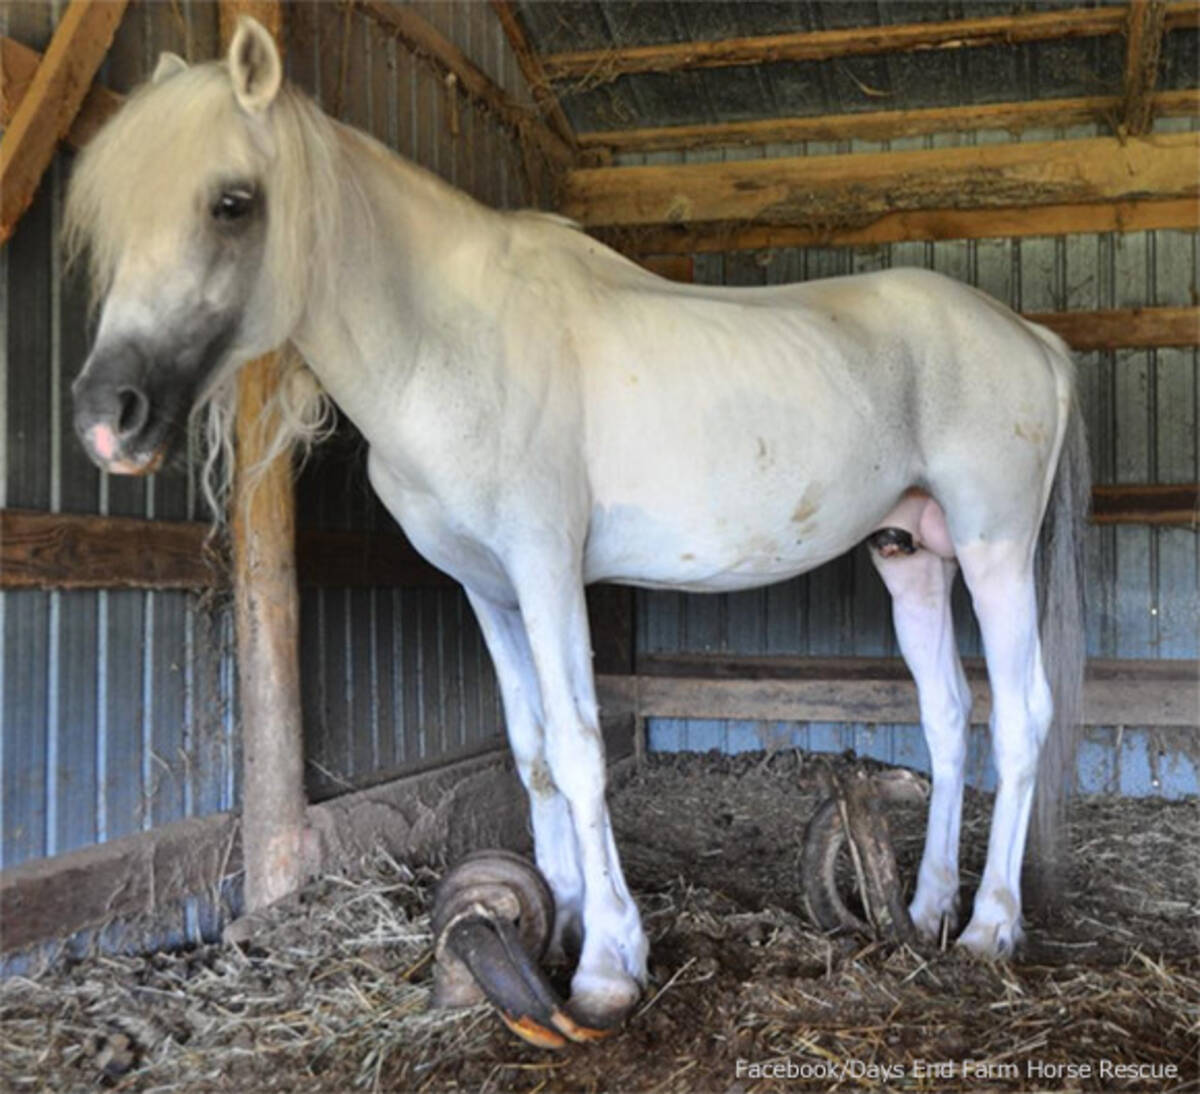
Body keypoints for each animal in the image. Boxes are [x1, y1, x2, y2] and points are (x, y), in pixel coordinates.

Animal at [67, 17, 1087, 1035]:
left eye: (231, 203)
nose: (108, 418)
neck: (452, 345)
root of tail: (1032, 340)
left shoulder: (547, 571)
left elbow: (579, 747)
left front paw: (607, 965)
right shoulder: (488, 590)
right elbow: (533, 757)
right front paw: (547, 924)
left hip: (994, 553)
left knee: (1022, 715)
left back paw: (990, 928)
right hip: (911, 558)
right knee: (949, 716)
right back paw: (925, 908)